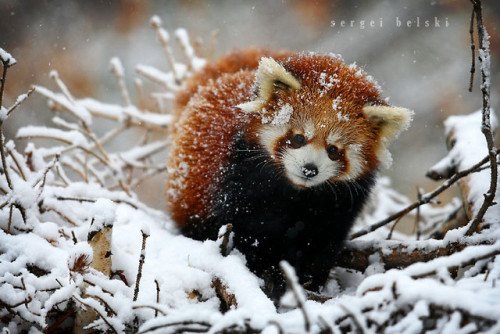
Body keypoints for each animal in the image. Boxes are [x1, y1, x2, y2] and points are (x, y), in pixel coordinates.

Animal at [166, 48, 412, 298]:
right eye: (298, 138)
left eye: (333, 150)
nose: (309, 169)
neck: (296, 194)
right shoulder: (241, 184)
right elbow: (246, 232)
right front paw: (266, 272)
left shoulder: (338, 207)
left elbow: (322, 245)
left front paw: (309, 281)